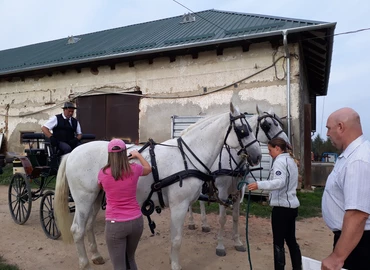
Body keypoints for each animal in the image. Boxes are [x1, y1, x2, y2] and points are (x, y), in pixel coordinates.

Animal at [54, 103, 264, 270]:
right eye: (243, 130)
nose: (257, 156)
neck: (187, 156)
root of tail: (73, 152)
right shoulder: (179, 205)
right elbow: (177, 240)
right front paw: (176, 265)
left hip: (97, 198)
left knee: (88, 225)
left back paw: (96, 255)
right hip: (83, 199)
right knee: (77, 229)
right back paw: (84, 263)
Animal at [186, 105, 288, 255]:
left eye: (277, 123)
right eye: (267, 125)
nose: (286, 144)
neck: (233, 159)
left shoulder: (237, 192)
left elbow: (235, 217)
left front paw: (238, 242)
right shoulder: (222, 193)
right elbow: (222, 219)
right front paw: (220, 246)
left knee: (201, 202)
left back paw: (204, 224)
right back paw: (192, 223)